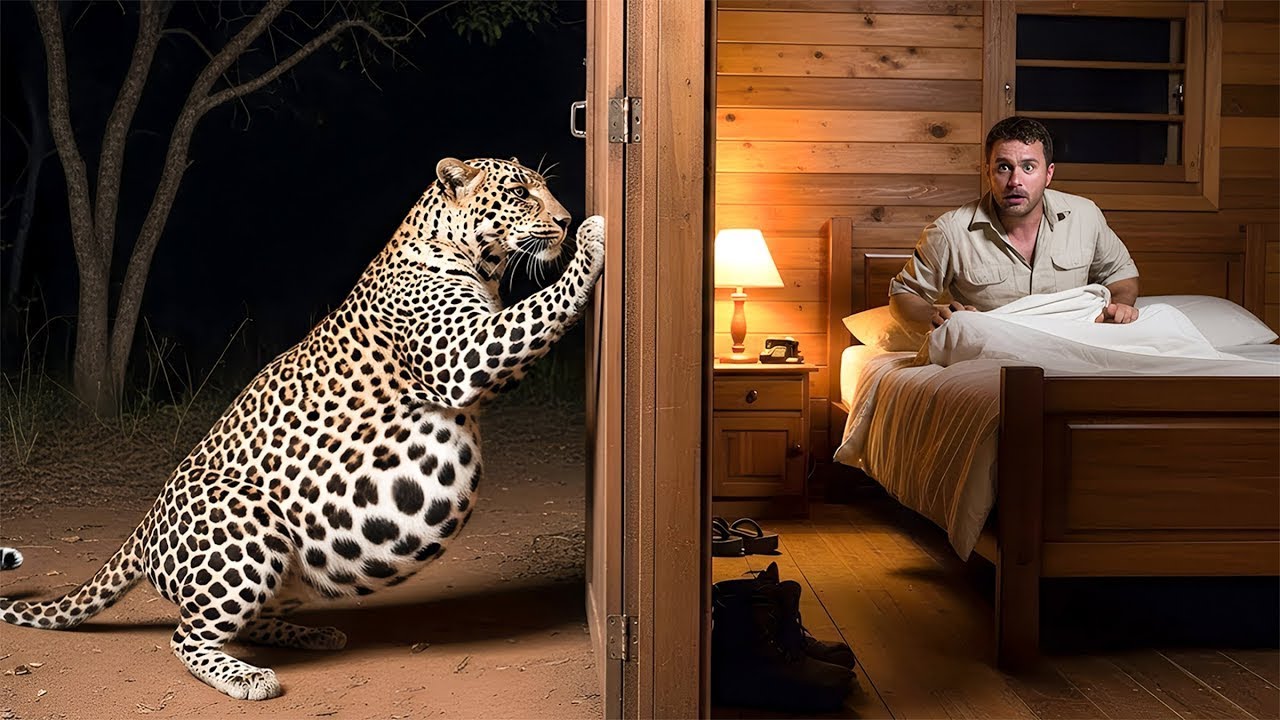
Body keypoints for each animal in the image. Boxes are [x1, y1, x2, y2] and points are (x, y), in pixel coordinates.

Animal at [0, 157, 604, 700]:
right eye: (521, 193)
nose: (566, 218)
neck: (477, 261)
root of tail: (142, 529)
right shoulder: (465, 355)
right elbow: (541, 306)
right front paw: (593, 239)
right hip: (249, 526)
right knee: (186, 637)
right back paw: (246, 678)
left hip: (292, 567)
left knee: (249, 620)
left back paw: (312, 635)